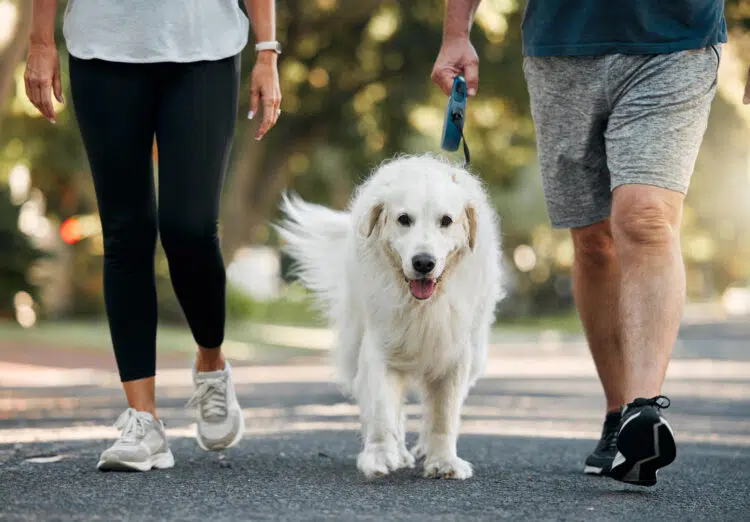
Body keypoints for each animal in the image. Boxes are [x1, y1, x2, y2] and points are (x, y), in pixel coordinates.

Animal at [276, 152, 506, 478]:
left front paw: (443, 461)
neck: (422, 306)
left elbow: (444, 414)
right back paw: (399, 452)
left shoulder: (454, 352)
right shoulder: (381, 347)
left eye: (446, 221)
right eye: (404, 219)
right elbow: (383, 410)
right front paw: (381, 456)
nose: (423, 262)